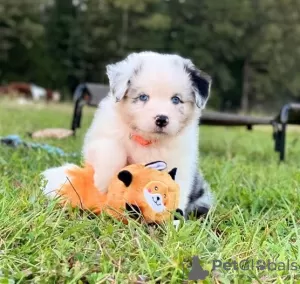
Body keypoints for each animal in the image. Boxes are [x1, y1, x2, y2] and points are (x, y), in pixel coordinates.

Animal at [82, 51, 213, 220]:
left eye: (176, 99)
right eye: (143, 97)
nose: (162, 119)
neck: (148, 139)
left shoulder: (181, 162)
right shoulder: (99, 137)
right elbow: (113, 150)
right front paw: (103, 183)